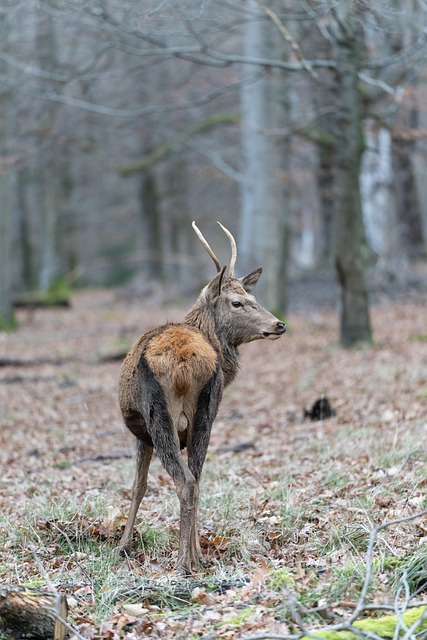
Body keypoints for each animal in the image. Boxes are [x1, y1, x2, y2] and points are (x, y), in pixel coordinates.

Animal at [117, 221, 286, 574]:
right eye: (237, 302)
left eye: (251, 296)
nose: (279, 324)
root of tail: (186, 363)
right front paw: (197, 549)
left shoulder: (141, 433)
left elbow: (139, 486)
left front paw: (123, 544)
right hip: (206, 412)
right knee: (195, 478)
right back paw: (192, 557)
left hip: (158, 415)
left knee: (184, 482)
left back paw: (182, 563)